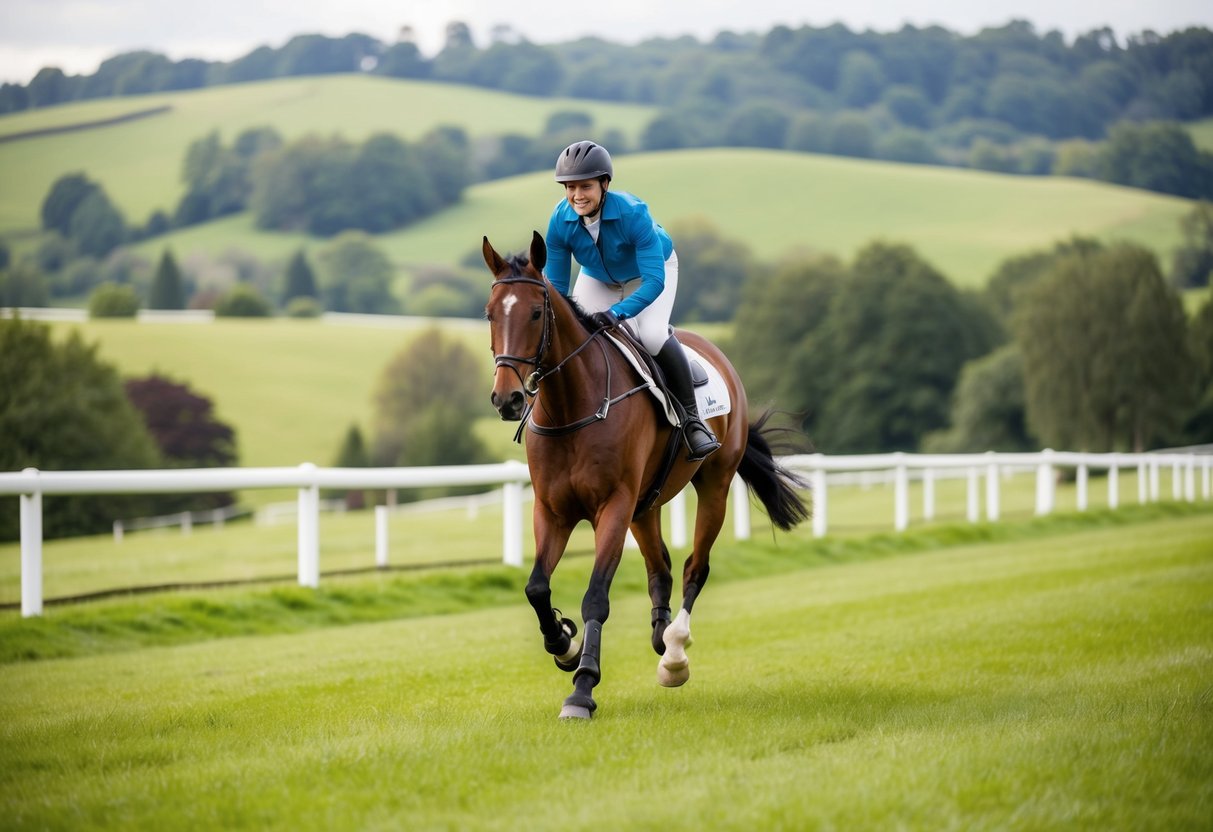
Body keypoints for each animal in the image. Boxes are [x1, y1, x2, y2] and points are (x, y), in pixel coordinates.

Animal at [483, 231, 809, 720]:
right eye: (490, 314)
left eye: (536, 313)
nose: (508, 399)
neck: (571, 408)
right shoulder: (553, 510)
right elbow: (536, 587)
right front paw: (564, 644)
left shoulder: (613, 507)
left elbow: (596, 597)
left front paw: (583, 687)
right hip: (646, 504)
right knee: (662, 568)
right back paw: (659, 634)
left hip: (712, 486)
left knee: (695, 567)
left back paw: (674, 654)